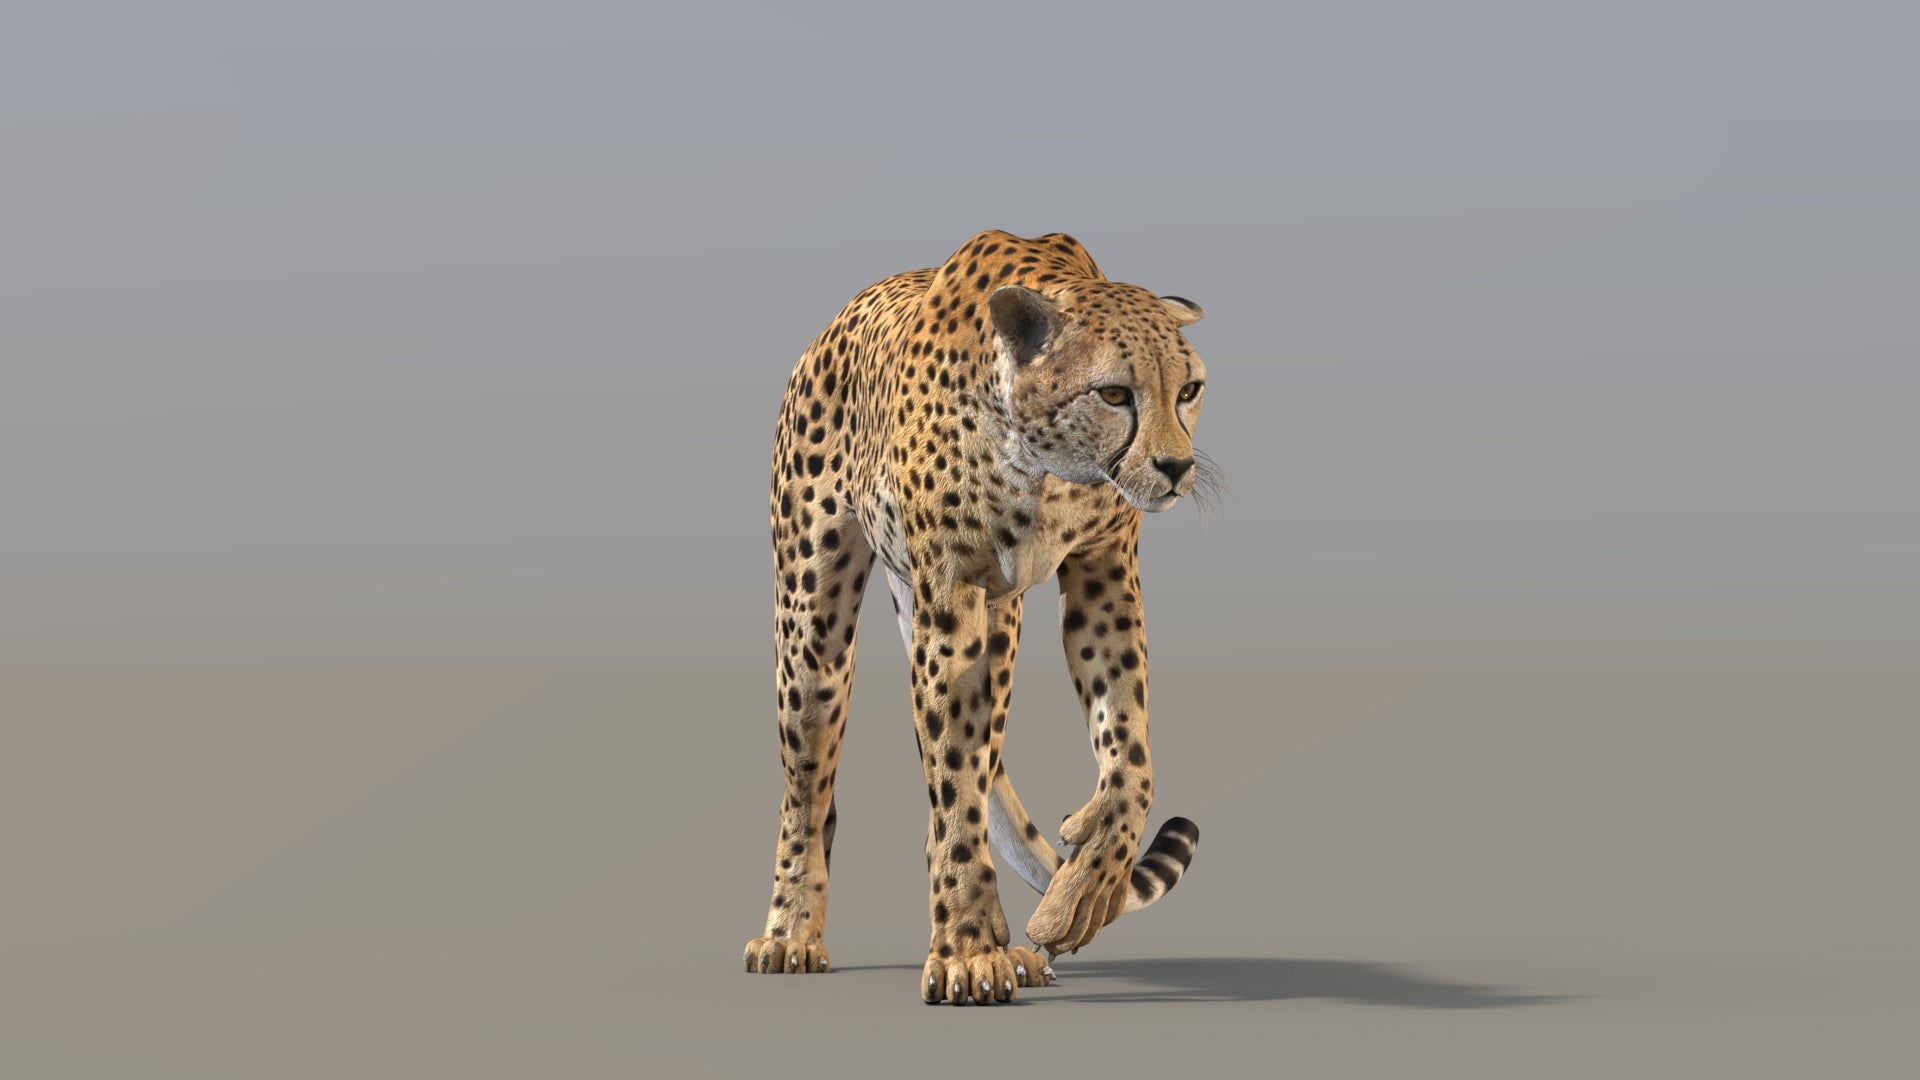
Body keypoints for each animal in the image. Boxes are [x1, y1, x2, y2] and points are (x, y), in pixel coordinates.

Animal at [742, 229, 1211, 1004]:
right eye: (1115, 393)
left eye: (1190, 389)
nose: (1176, 468)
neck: (1049, 467)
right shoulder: (951, 599)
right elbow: (953, 777)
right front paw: (964, 950)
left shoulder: (1103, 575)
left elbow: (1130, 756)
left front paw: (1084, 886)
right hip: (812, 624)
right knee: (810, 783)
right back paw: (790, 934)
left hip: (1004, 621)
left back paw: (1013, 939)